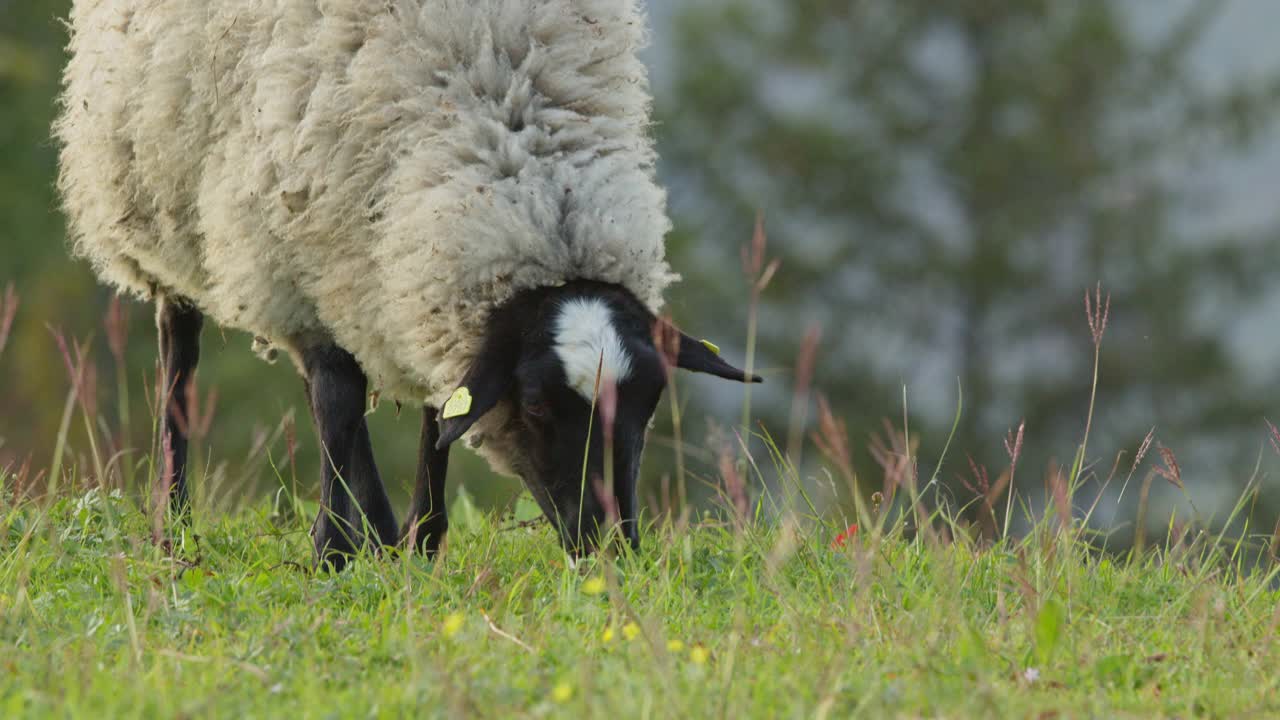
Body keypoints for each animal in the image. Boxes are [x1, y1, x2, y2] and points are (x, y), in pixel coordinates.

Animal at [57, 0, 757, 566]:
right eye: (535, 405)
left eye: (651, 399)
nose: (612, 546)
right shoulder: (301, 259)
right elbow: (339, 404)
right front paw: (338, 550)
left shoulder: (408, 271)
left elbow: (434, 420)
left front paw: (419, 542)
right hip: (159, 200)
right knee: (183, 358)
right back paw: (174, 523)